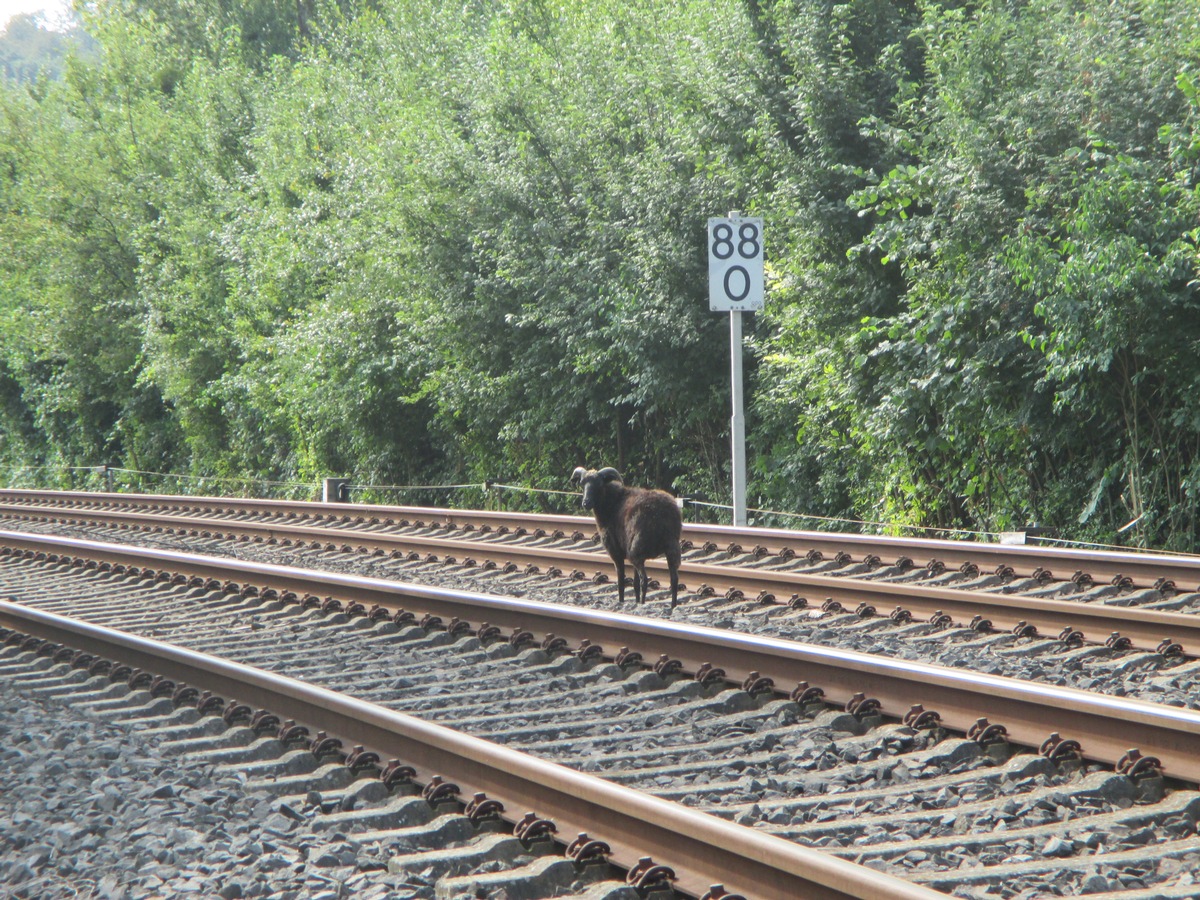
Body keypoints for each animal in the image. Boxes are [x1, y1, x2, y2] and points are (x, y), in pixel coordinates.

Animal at [568, 468, 681, 609]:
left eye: (599, 484)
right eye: (582, 483)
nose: (586, 503)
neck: (611, 504)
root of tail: (662, 513)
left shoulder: (616, 552)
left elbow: (621, 581)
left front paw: (621, 601)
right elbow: (635, 584)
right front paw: (635, 600)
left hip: (637, 550)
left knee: (645, 579)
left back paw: (643, 604)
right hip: (671, 548)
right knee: (674, 580)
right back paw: (673, 606)